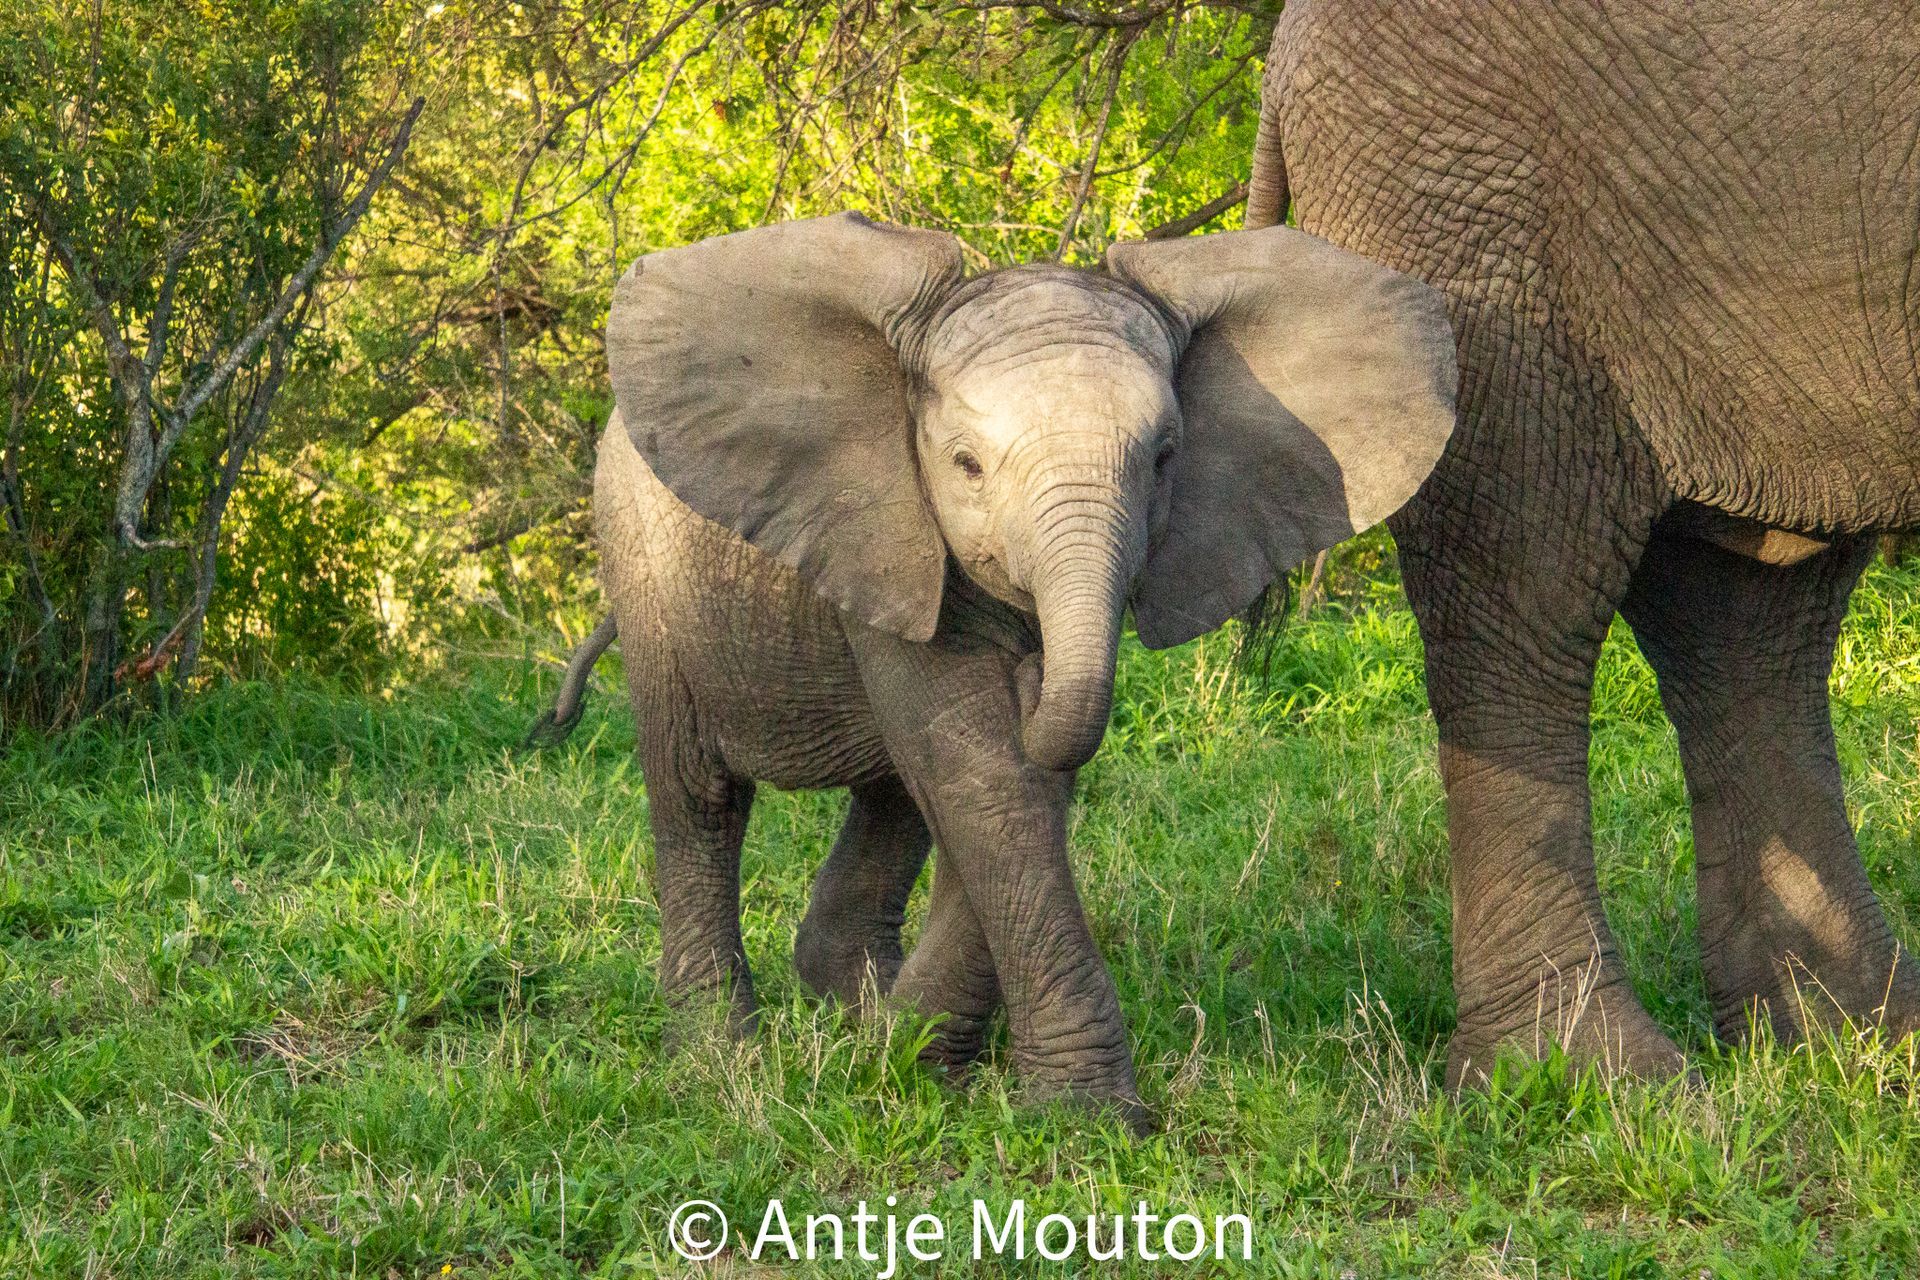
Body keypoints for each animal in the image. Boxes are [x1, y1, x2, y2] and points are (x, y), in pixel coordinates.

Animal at [562, 212, 1456, 1121]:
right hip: (640, 558)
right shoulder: (887, 526)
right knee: (701, 793)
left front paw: (918, 1057)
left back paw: (859, 1013)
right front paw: (1087, 1116)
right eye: (965, 465)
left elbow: (1000, 778)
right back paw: (721, 1056)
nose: (1030, 671)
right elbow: (977, 766)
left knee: (895, 796)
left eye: (1165, 459)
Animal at [1250, 0, 1920, 1083]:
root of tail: (1284, 53)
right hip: (1475, 216)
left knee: (1751, 608)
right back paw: (1607, 1081)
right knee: (1523, 591)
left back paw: (1846, 1042)